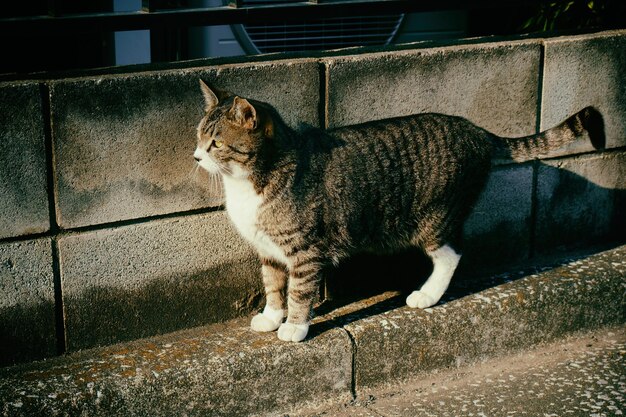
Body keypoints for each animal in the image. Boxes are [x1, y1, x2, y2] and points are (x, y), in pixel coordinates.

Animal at [193, 79, 604, 342]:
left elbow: (299, 290)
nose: (196, 156)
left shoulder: (305, 250)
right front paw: (271, 316)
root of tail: (475, 130)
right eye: (199, 136)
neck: (250, 181)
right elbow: (273, 284)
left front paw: (294, 326)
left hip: (434, 218)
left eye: (217, 144)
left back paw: (427, 295)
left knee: (453, 253)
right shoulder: (269, 249)